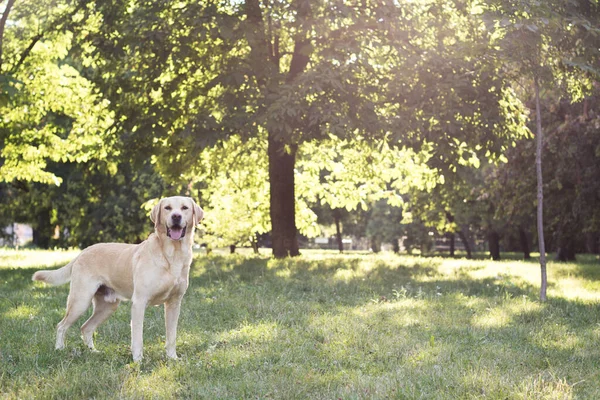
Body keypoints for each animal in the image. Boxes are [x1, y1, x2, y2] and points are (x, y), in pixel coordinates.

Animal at [32, 197, 204, 362]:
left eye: (184, 208)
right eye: (167, 208)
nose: (176, 216)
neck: (172, 254)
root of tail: (84, 251)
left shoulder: (174, 304)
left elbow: (171, 336)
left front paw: (172, 358)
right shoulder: (139, 303)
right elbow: (138, 338)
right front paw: (138, 361)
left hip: (107, 306)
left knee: (86, 328)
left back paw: (93, 352)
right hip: (80, 301)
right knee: (61, 326)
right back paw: (59, 349)